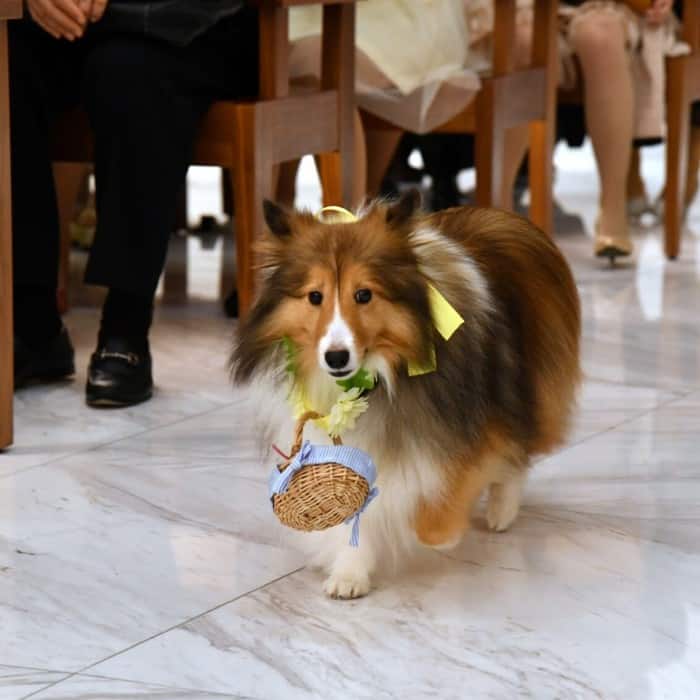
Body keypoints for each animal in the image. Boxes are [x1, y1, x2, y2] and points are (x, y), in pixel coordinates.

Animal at [232, 190, 584, 596]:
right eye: (315, 296)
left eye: (364, 294)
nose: (336, 357)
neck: (379, 380)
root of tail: (503, 214)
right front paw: (350, 573)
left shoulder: (467, 427)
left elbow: (446, 496)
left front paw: (441, 533)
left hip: (528, 387)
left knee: (519, 450)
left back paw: (501, 512)